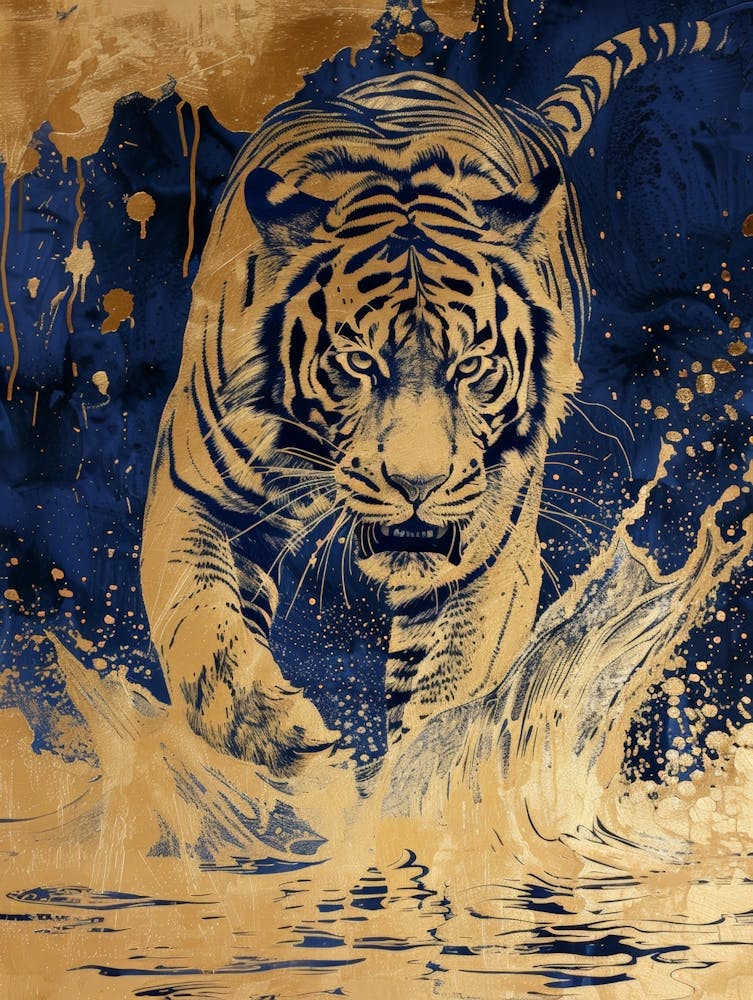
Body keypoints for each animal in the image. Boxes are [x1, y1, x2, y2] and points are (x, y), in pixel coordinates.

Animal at [141, 19, 731, 776]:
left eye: (472, 365)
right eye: (358, 361)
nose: (417, 485)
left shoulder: (488, 561)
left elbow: (450, 696)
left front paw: (421, 785)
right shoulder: (191, 500)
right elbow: (202, 629)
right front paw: (277, 733)